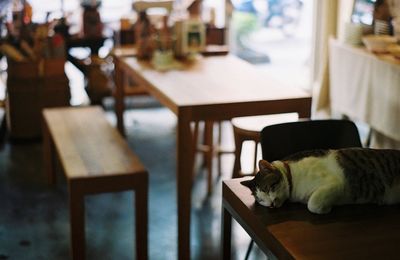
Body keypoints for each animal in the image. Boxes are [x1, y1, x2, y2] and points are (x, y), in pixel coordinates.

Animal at [241, 147, 400, 214]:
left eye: (270, 188)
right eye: (261, 200)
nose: (271, 205)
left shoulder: (338, 183)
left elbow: (313, 203)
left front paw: (327, 208)